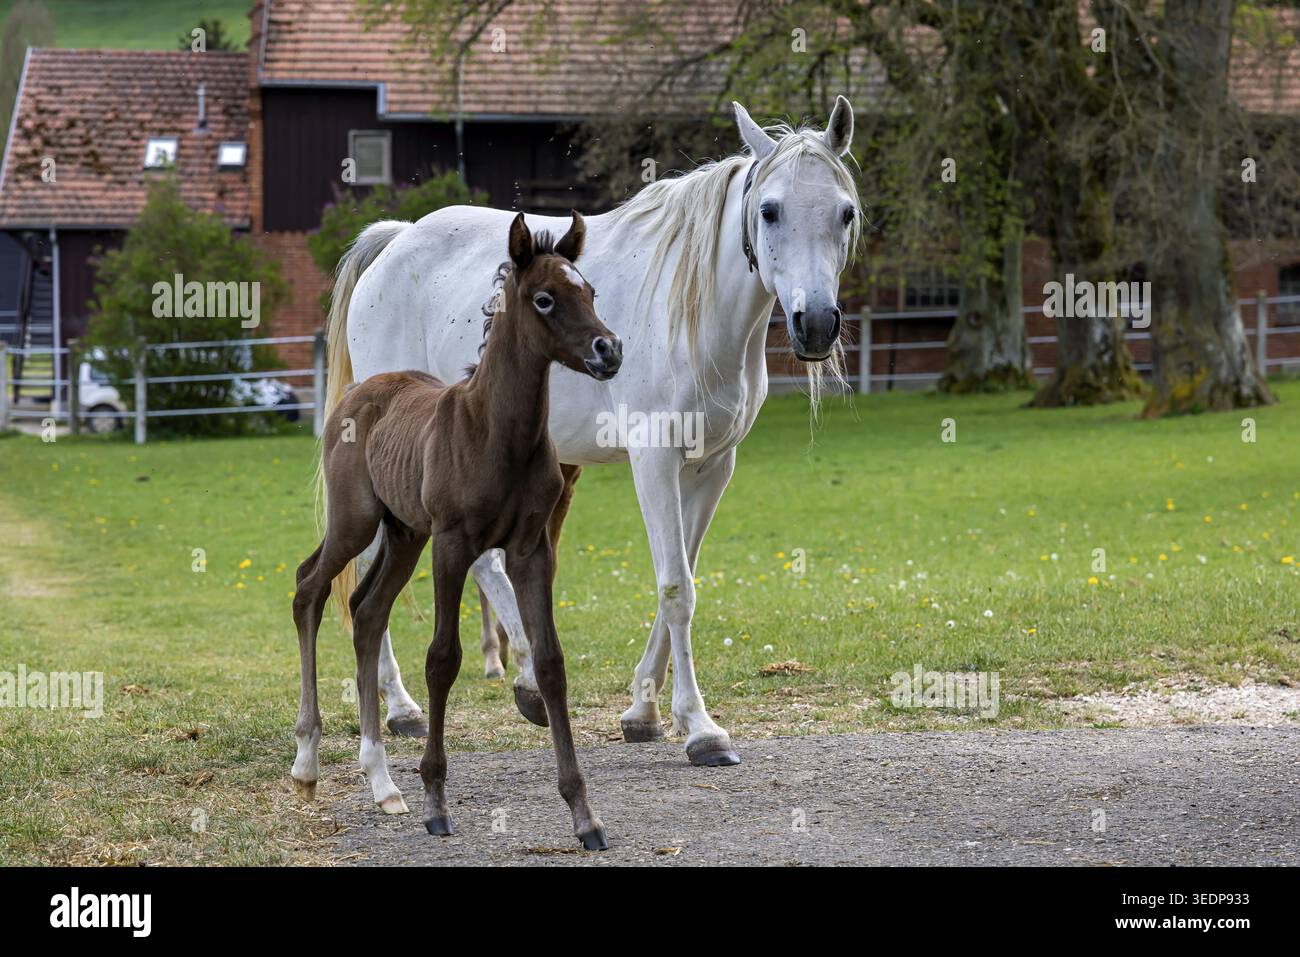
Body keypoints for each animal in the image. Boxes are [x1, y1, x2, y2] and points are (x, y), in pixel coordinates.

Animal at [293, 212, 619, 849]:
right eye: (544, 298)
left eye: (590, 291)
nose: (609, 350)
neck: (496, 433)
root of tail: (359, 391)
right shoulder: (452, 544)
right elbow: (443, 658)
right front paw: (436, 803)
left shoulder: (530, 550)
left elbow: (550, 663)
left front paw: (584, 815)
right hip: (357, 522)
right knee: (309, 589)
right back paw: (308, 764)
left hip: (403, 534)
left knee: (367, 612)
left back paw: (382, 782)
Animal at [324, 97, 860, 767]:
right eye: (770, 209)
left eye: (845, 212)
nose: (816, 324)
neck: (695, 308)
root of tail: (397, 241)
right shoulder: (654, 460)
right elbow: (676, 588)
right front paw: (701, 728)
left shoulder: (712, 466)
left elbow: (680, 578)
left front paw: (644, 712)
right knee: (388, 563)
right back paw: (406, 705)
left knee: (478, 566)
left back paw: (516, 683)